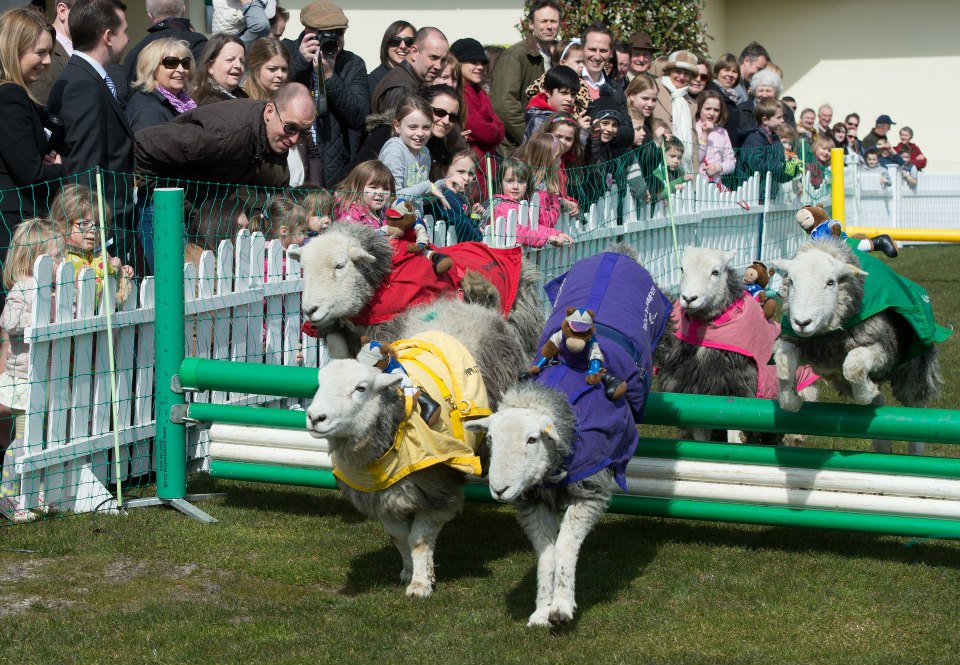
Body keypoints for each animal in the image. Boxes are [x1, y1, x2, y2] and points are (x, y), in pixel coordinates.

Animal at [306, 296, 524, 596]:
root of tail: (466, 306)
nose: (315, 418)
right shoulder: (381, 494)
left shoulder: (437, 486)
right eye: (319, 383)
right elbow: (399, 537)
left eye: (361, 388)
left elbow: (418, 539)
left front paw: (421, 583)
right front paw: (409, 571)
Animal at [464, 249, 672, 628]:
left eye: (532, 439)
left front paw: (561, 608)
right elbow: (547, 553)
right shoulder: (532, 502)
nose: (498, 490)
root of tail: (616, 253)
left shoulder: (590, 490)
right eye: (492, 440)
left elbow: (564, 547)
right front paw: (540, 611)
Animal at [656, 246, 820, 444]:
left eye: (716, 272)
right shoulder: (696, 395)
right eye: (682, 269)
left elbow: (735, 440)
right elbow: (701, 438)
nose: (688, 298)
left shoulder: (740, 392)